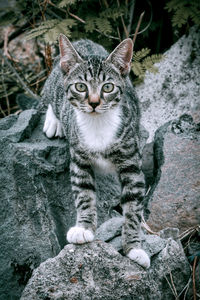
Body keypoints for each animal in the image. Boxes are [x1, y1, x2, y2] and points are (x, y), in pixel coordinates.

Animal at [40, 34, 150, 268]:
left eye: (107, 87)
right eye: (81, 87)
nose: (93, 102)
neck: (98, 124)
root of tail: (83, 40)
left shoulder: (132, 164)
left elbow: (133, 209)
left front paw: (135, 248)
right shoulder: (78, 159)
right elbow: (84, 195)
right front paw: (83, 229)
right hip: (55, 83)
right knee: (50, 97)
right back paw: (54, 122)